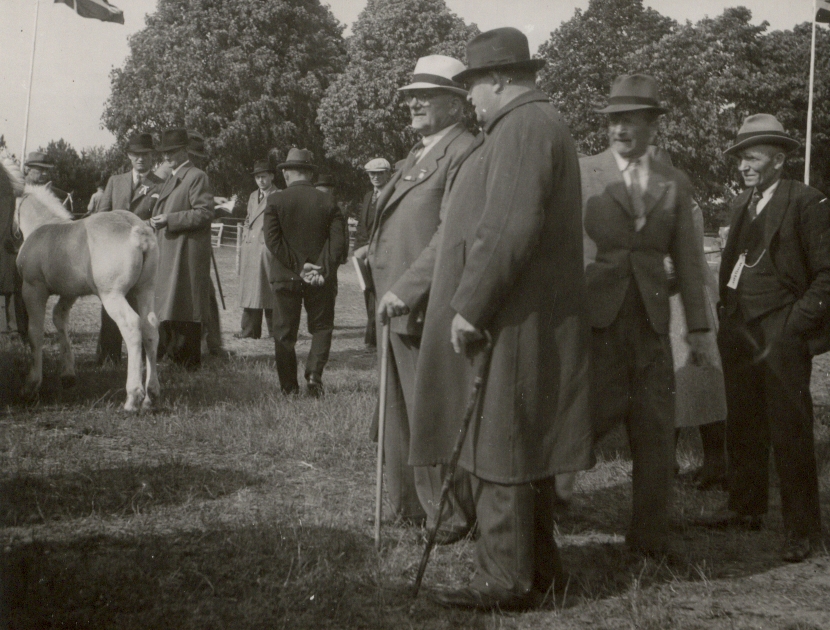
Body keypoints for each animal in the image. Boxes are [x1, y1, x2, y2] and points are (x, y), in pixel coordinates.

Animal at [13, 180, 161, 412]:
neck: (42, 226)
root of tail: (137, 230)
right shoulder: (70, 293)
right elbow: (59, 318)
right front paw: (67, 375)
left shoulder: (33, 289)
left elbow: (34, 333)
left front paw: (31, 385)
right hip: (145, 290)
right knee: (150, 328)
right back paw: (150, 396)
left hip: (113, 296)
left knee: (131, 327)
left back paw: (132, 398)